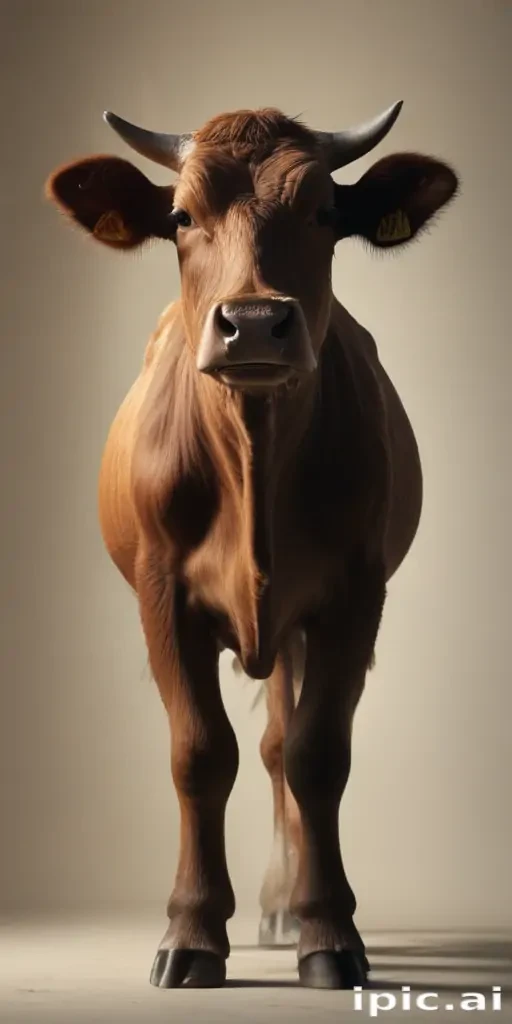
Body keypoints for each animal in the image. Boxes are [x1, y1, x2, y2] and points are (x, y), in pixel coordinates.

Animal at [46, 102, 458, 990]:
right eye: (180, 217)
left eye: (326, 212)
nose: (258, 322)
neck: (252, 457)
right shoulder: (162, 595)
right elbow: (200, 753)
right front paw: (193, 931)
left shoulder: (353, 598)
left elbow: (314, 755)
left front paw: (327, 928)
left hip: (297, 629)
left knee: (277, 747)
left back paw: (284, 903)